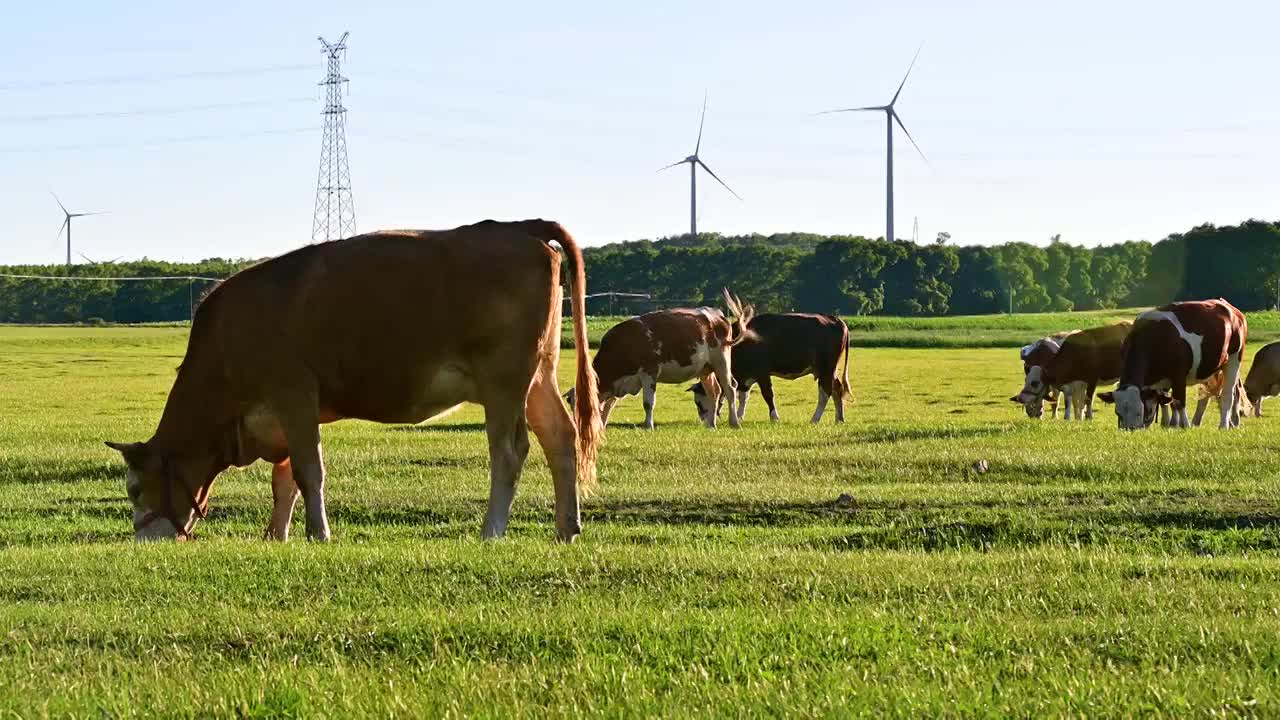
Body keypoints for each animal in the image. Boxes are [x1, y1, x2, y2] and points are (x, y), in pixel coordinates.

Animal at [103, 215, 599, 540]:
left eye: (134, 488)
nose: (142, 540)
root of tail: (516, 226)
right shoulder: (285, 414)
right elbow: (284, 481)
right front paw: (277, 536)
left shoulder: (293, 393)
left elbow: (308, 472)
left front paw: (318, 534)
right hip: (539, 376)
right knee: (561, 437)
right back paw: (565, 527)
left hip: (503, 379)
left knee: (510, 450)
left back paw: (492, 530)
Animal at [568, 288, 752, 427]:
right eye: (571, 404)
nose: (578, 428)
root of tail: (716, 314)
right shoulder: (619, 382)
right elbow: (609, 405)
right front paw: (602, 425)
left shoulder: (649, 372)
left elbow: (648, 403)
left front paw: (648, 425)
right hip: (706, 369)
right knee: (714, 392)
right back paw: (711, 424)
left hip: (721, 360)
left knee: (730, 388)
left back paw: (734, 422)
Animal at [691, 311, 849, 422]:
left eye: (698, 402)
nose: (703, 420)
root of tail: (835, 319)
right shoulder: (745, 376)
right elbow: (743, 396)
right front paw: (740, 416)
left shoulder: (762, 373)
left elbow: (768, 395)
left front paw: (774, 417)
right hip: (829, 370)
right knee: (837, 388)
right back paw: (839, 419)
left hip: (826, 368)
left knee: (825, 392)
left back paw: (815, 419)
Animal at [1095, 295, 1244, 425]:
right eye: (1118, 413)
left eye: (1139, 412)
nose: (1129, 430)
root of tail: (1230, 308)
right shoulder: (1163, 379)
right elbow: (1165, 401)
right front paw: (1168, 424)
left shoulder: (1179, 374)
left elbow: (1179, 401)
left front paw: (1184, 425)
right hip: (1211, 368)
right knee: (1213, 394)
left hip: (1233, 360)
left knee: (1227, 395)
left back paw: (1224, 425)